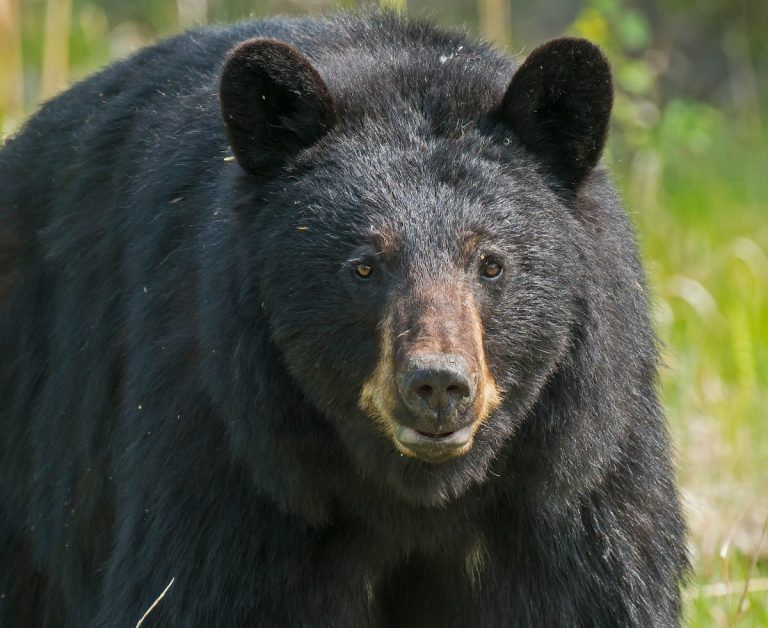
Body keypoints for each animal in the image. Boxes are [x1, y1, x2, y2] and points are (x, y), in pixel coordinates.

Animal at [0, 9, 684, 628]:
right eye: (364, 266)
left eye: (491, 264)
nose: (438, 384)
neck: (415, 493)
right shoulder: (232, 455)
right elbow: (192, 592)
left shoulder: (572, 482)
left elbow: (597, 593)